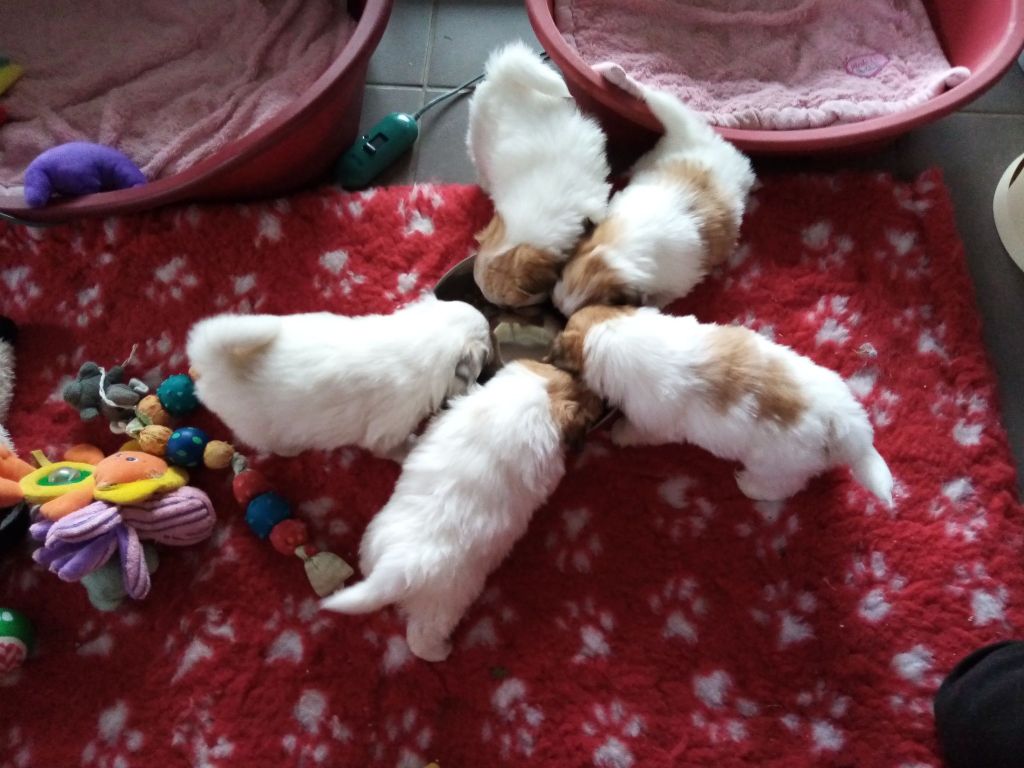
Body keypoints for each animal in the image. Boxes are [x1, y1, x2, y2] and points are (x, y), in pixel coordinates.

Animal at [186, 296, 492, 460]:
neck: (423, 338)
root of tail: (214, 364)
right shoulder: (388, 429)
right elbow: (392, 448)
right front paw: (412, 449)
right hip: (260, 426)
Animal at [320, 360, 604, 661]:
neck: (540, 395)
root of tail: (395, 568)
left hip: (374, 544)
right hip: (445, 603)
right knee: (421, 638)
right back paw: (441, 651)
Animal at [549, 305, 893, 506]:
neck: (616, 331)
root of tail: (844, 423)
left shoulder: (653, 422)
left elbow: (636, 431)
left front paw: (619, 433)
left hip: (778, 466)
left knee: (783, 486)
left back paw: (750, 487)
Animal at [552, 68, 755, 317]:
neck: (618, 250)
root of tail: (717, 145)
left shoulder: (677, 284)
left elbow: (659, 298)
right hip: (676, 118)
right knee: (652, 96)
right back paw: (616, 76)